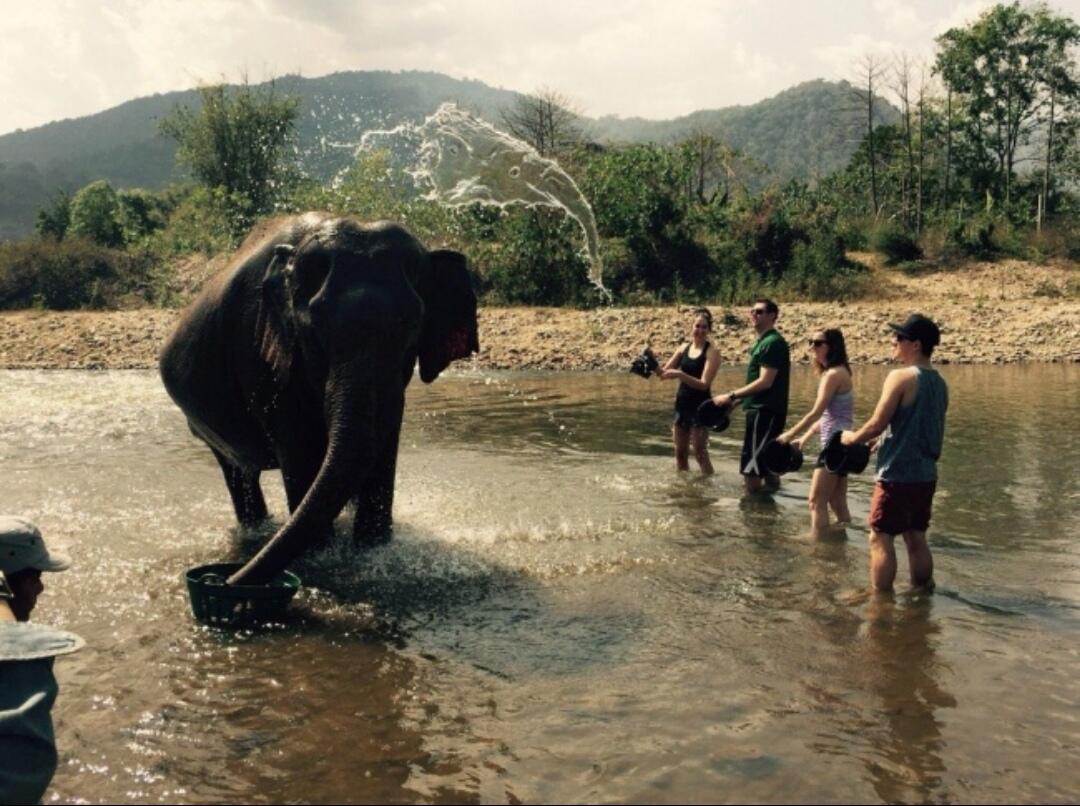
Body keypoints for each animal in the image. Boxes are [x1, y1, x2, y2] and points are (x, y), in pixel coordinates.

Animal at [157, 210, 479, 579]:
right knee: (238, 474)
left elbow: (381, 446)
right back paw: (258, 531)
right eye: (314, 329)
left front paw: (372, 552)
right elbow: (300, 448)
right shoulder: (260, 352)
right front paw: (322, 556)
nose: (226, 579)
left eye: (413, 325)